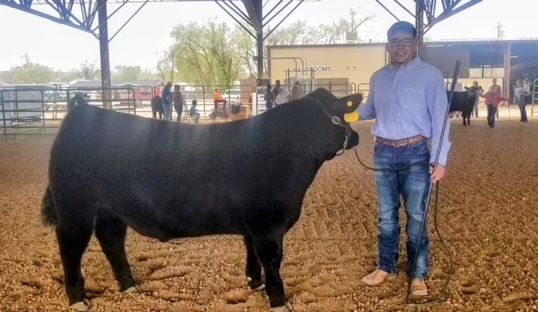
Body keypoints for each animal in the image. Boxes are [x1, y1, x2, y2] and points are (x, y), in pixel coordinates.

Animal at [40, 88, 360, 312]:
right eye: (342, 116)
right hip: (75, 207)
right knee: (70, 247)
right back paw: (78, 299)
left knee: (112, 241)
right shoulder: (268, 225)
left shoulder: (253, 226)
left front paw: (253, 283)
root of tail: (80, 114)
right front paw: (278, 299)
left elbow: (252, 253)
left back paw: (129, 286)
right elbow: (272, 260)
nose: (356, 136)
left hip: (110, 211)